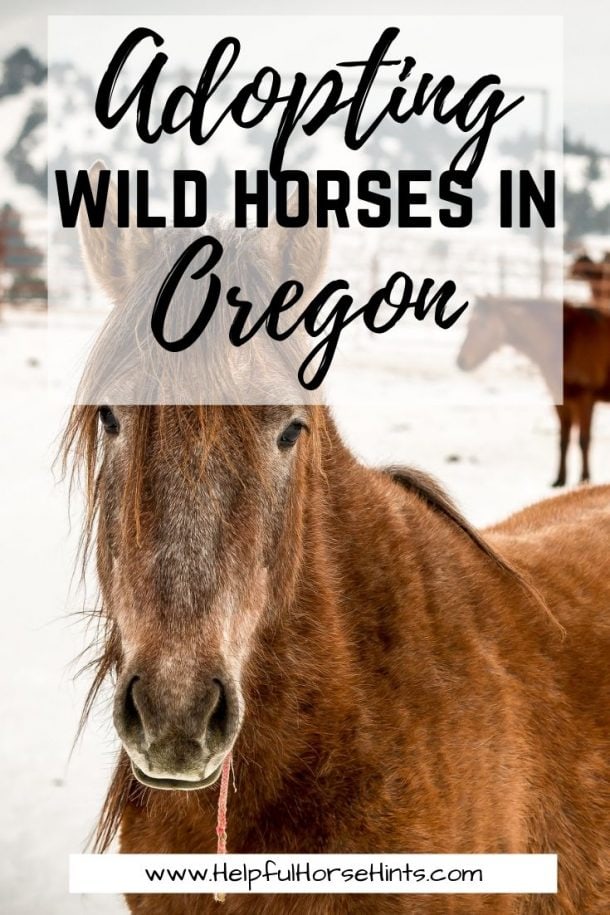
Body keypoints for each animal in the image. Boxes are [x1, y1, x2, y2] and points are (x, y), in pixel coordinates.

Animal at [457, 296, 610, 486]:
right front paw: (559, 480)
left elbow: (584, 440)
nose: (461, 361)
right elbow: (563, 440)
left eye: (482, 325)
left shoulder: (585, 398)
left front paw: (584, 479)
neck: (567, 340)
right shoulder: (561, 399)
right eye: (469, 324)